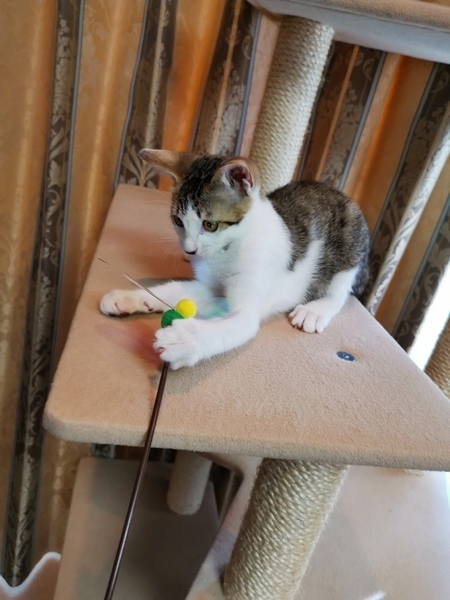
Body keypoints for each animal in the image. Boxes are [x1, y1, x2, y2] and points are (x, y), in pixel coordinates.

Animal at [100, 149, 370, 370]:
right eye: (178, 221)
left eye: (210, 224)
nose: (189, 250)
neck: (226, 250)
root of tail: (343, 197)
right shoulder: (208, 285)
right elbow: (175, 289)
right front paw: (131, 298)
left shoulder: (248, 303)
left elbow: (234, 325)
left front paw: (183, 339)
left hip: (350, 245)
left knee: (340, 292)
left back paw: (314, 310)